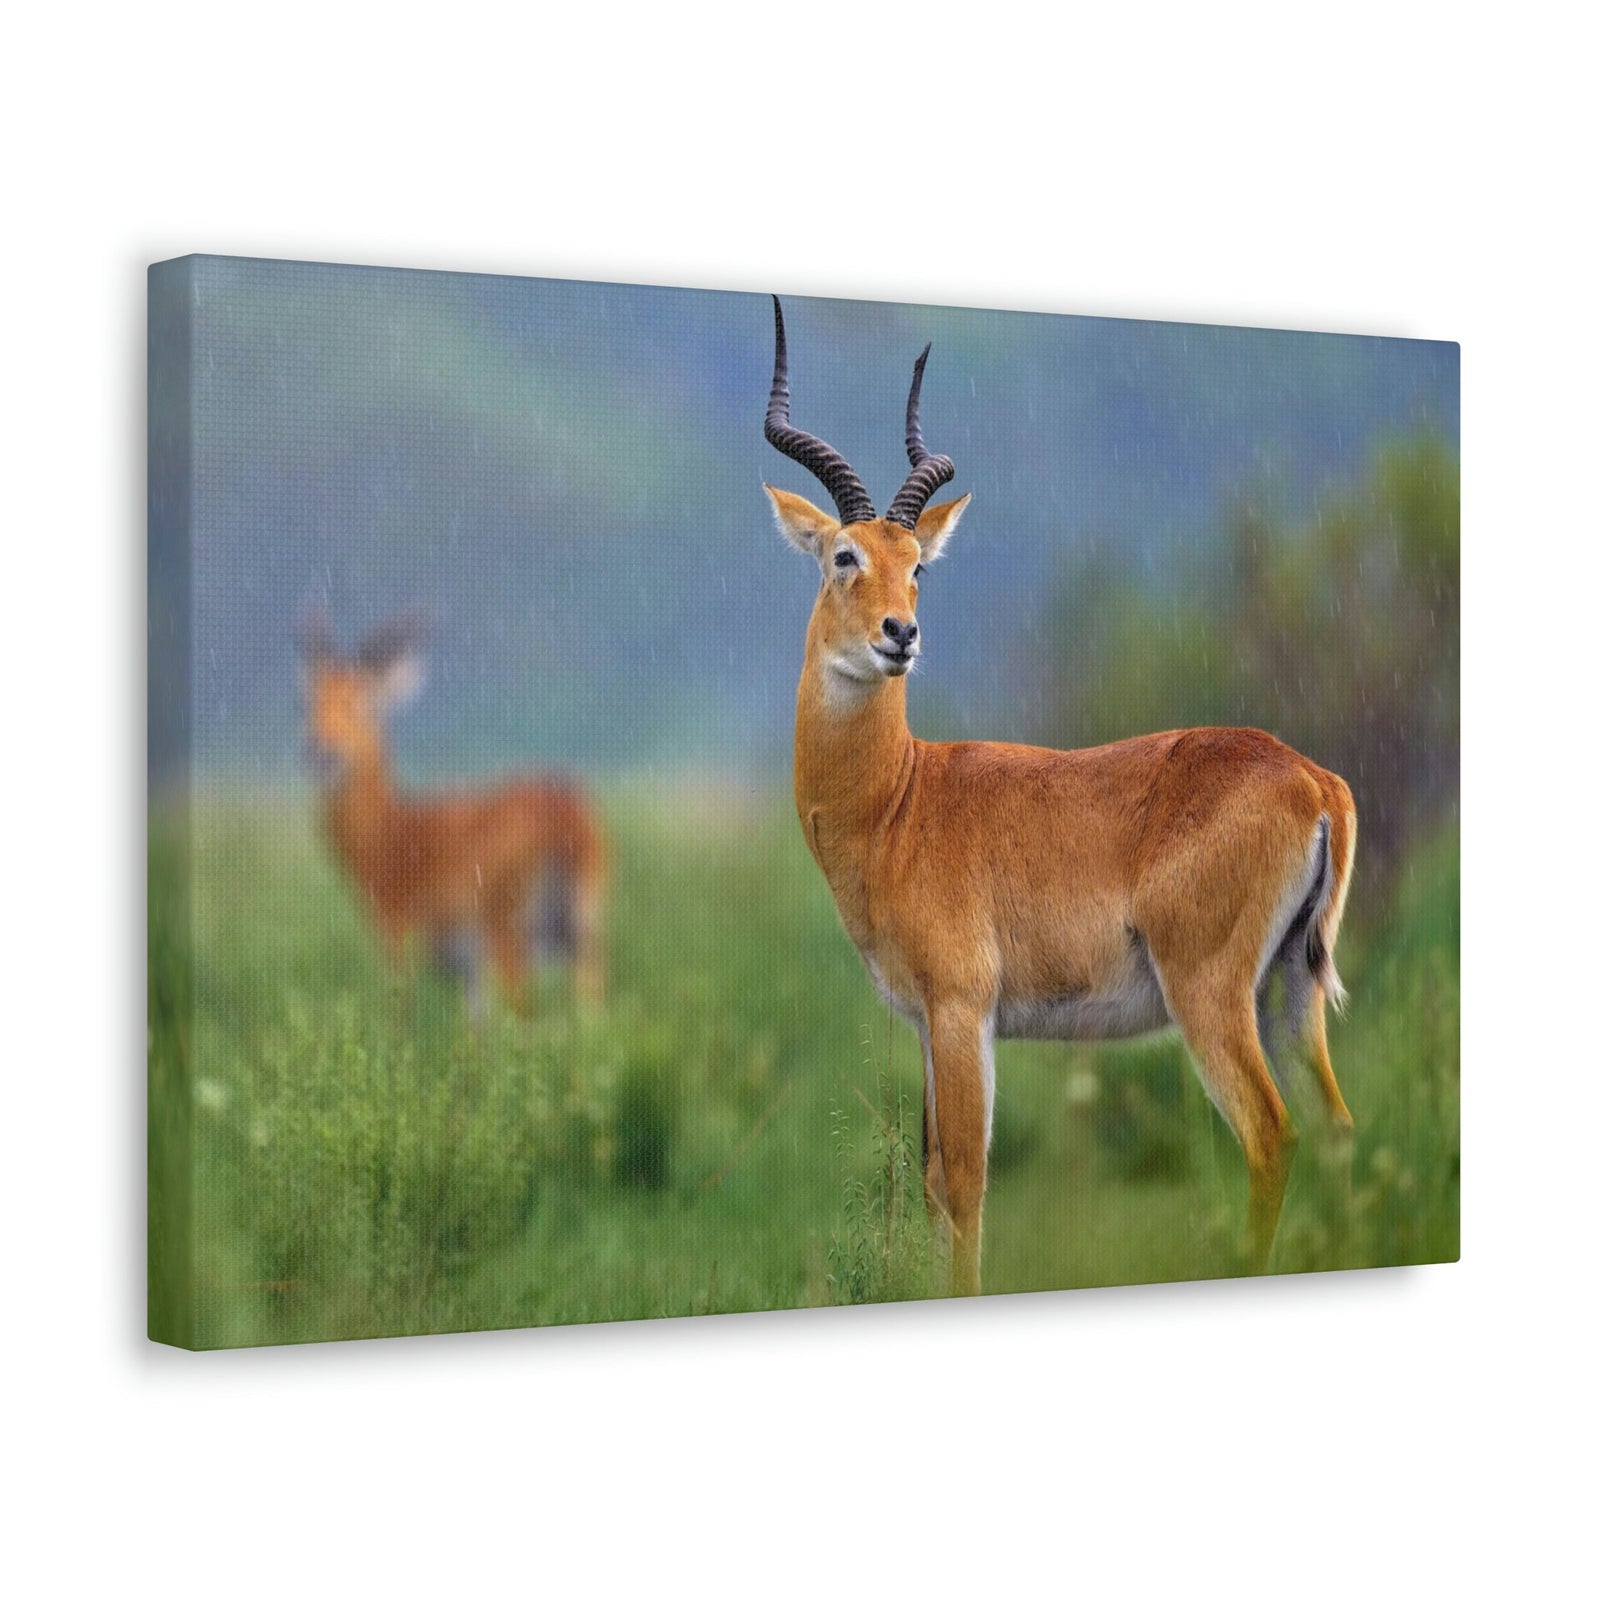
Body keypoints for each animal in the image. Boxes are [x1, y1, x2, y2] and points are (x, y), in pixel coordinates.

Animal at [300, 612, 607, 1012]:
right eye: (306, 704)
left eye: (361, 703)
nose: (318, 750)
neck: (392, 835)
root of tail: (566, 814)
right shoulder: (469, 973)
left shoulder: (399, 943)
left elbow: (400, 1015)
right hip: (581, 934)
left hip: (510, 934)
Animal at [761, 297, 1356, 1294]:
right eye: (844, 556)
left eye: (917, 563)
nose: (899, 635)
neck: (898, 803)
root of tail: (1311, 778)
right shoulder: (928, 1022)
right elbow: (934, 1177)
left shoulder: (963, 1009)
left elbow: (963, 1182)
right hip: (1291, 988)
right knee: (1342, 1131)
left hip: (1211, 993)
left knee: (1273, 1136)